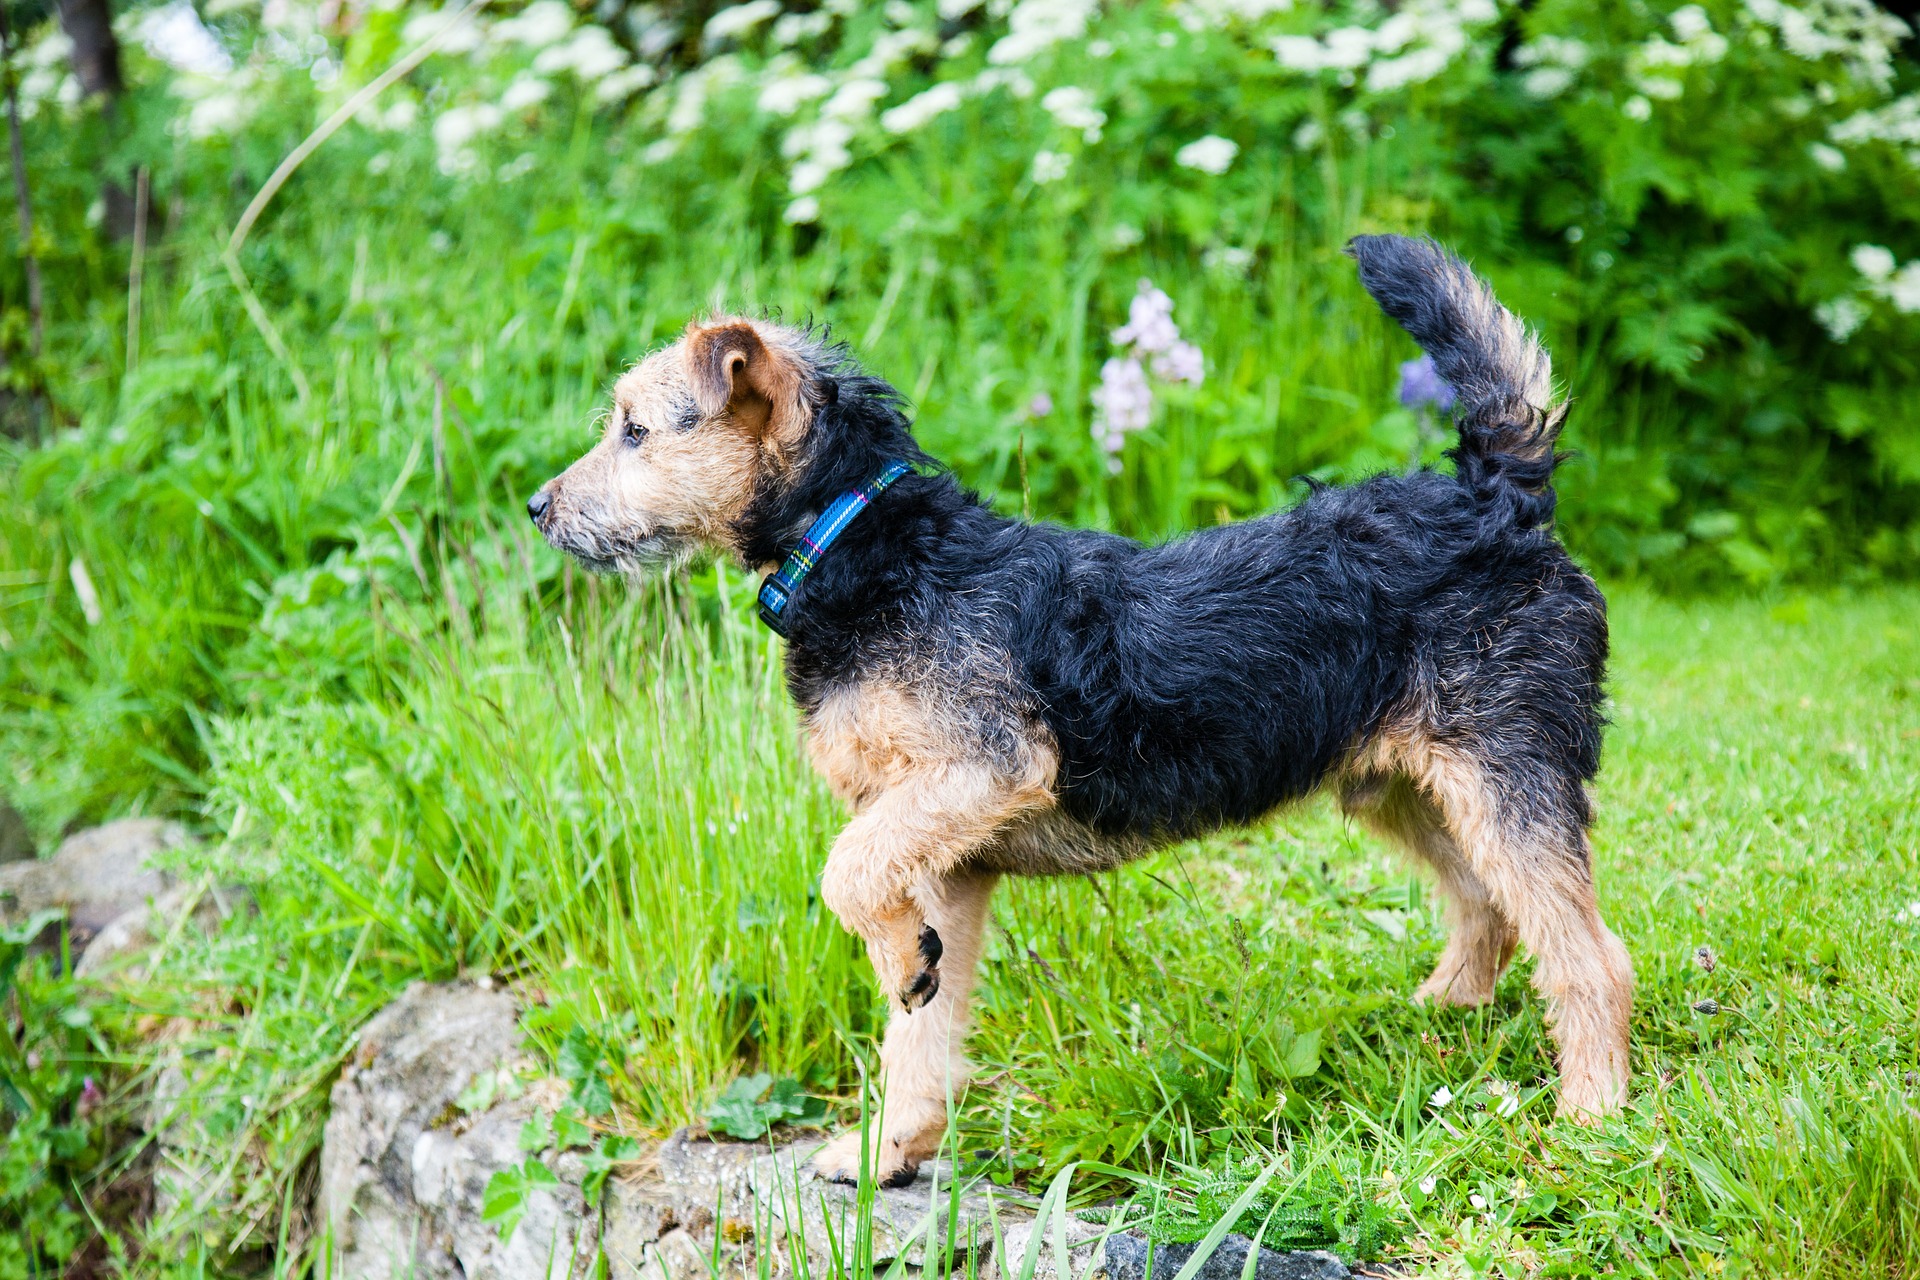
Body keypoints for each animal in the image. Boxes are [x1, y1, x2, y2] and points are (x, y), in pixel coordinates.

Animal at [529, 235, 1635, 1189]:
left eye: (634, 427)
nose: (539, 507)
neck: (865, 547)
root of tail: (1500, 495)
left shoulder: (983, 767)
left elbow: (848, 874)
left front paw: (892, 987)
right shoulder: (945, 861)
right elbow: (918, 1028)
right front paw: (892, 1145)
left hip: (1506, 780)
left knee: (1590, 956)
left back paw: (1592, 1114)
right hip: (1407, 787)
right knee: (1496, 912)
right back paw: (1438, 1020)